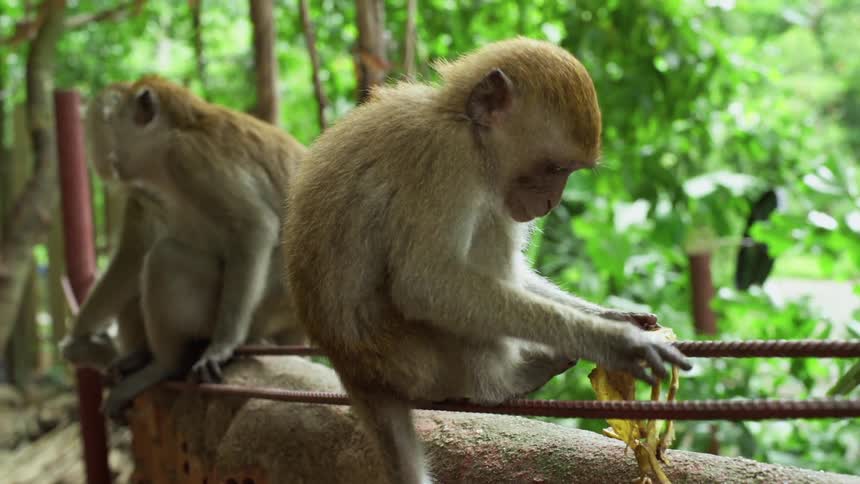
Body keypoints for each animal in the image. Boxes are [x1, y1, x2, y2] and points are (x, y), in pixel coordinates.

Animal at [74, 76, 307, 418]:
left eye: (104, 121)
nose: (100, 158)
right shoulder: (145, 191)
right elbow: (134, 251)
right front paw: (79, 337)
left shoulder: (189, 158)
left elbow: (254, 226)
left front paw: (222, 347)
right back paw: (140, 355)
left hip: (259, 311)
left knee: (165, 259)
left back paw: (164, 365)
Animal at [281, 37, 692, 484]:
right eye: (555, 168)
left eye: (568, 171)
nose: (551, 203)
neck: (459, 120)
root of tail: (355, 373)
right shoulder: (450, 160)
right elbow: (425, 284)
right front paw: (614, 341)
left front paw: (613, 317)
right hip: (416, 360)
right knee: (484, 233)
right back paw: (504, 382)